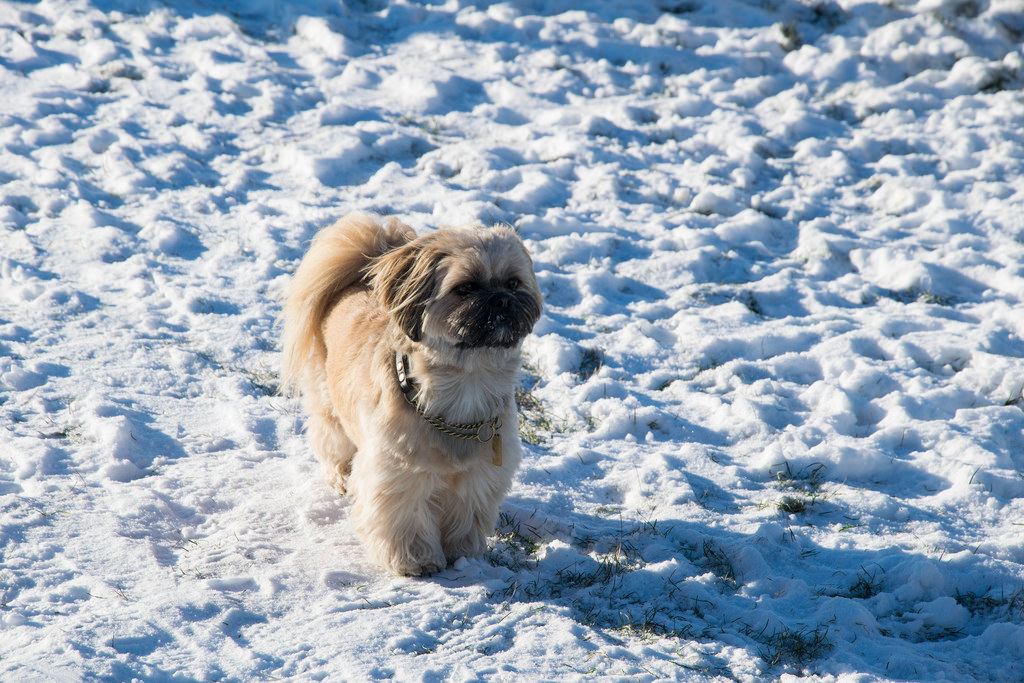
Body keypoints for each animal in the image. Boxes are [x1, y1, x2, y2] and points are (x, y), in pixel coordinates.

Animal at [276, 214, 540, 577]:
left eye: (513, 283)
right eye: (465, 287)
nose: (501, 299)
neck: (466, 384)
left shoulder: (478, 475)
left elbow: (465, 516)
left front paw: (462, 554)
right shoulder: (398, 472)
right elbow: (405, 519)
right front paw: (417, 560)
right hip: (329, 401)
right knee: (330, 438)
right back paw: (342, 476)